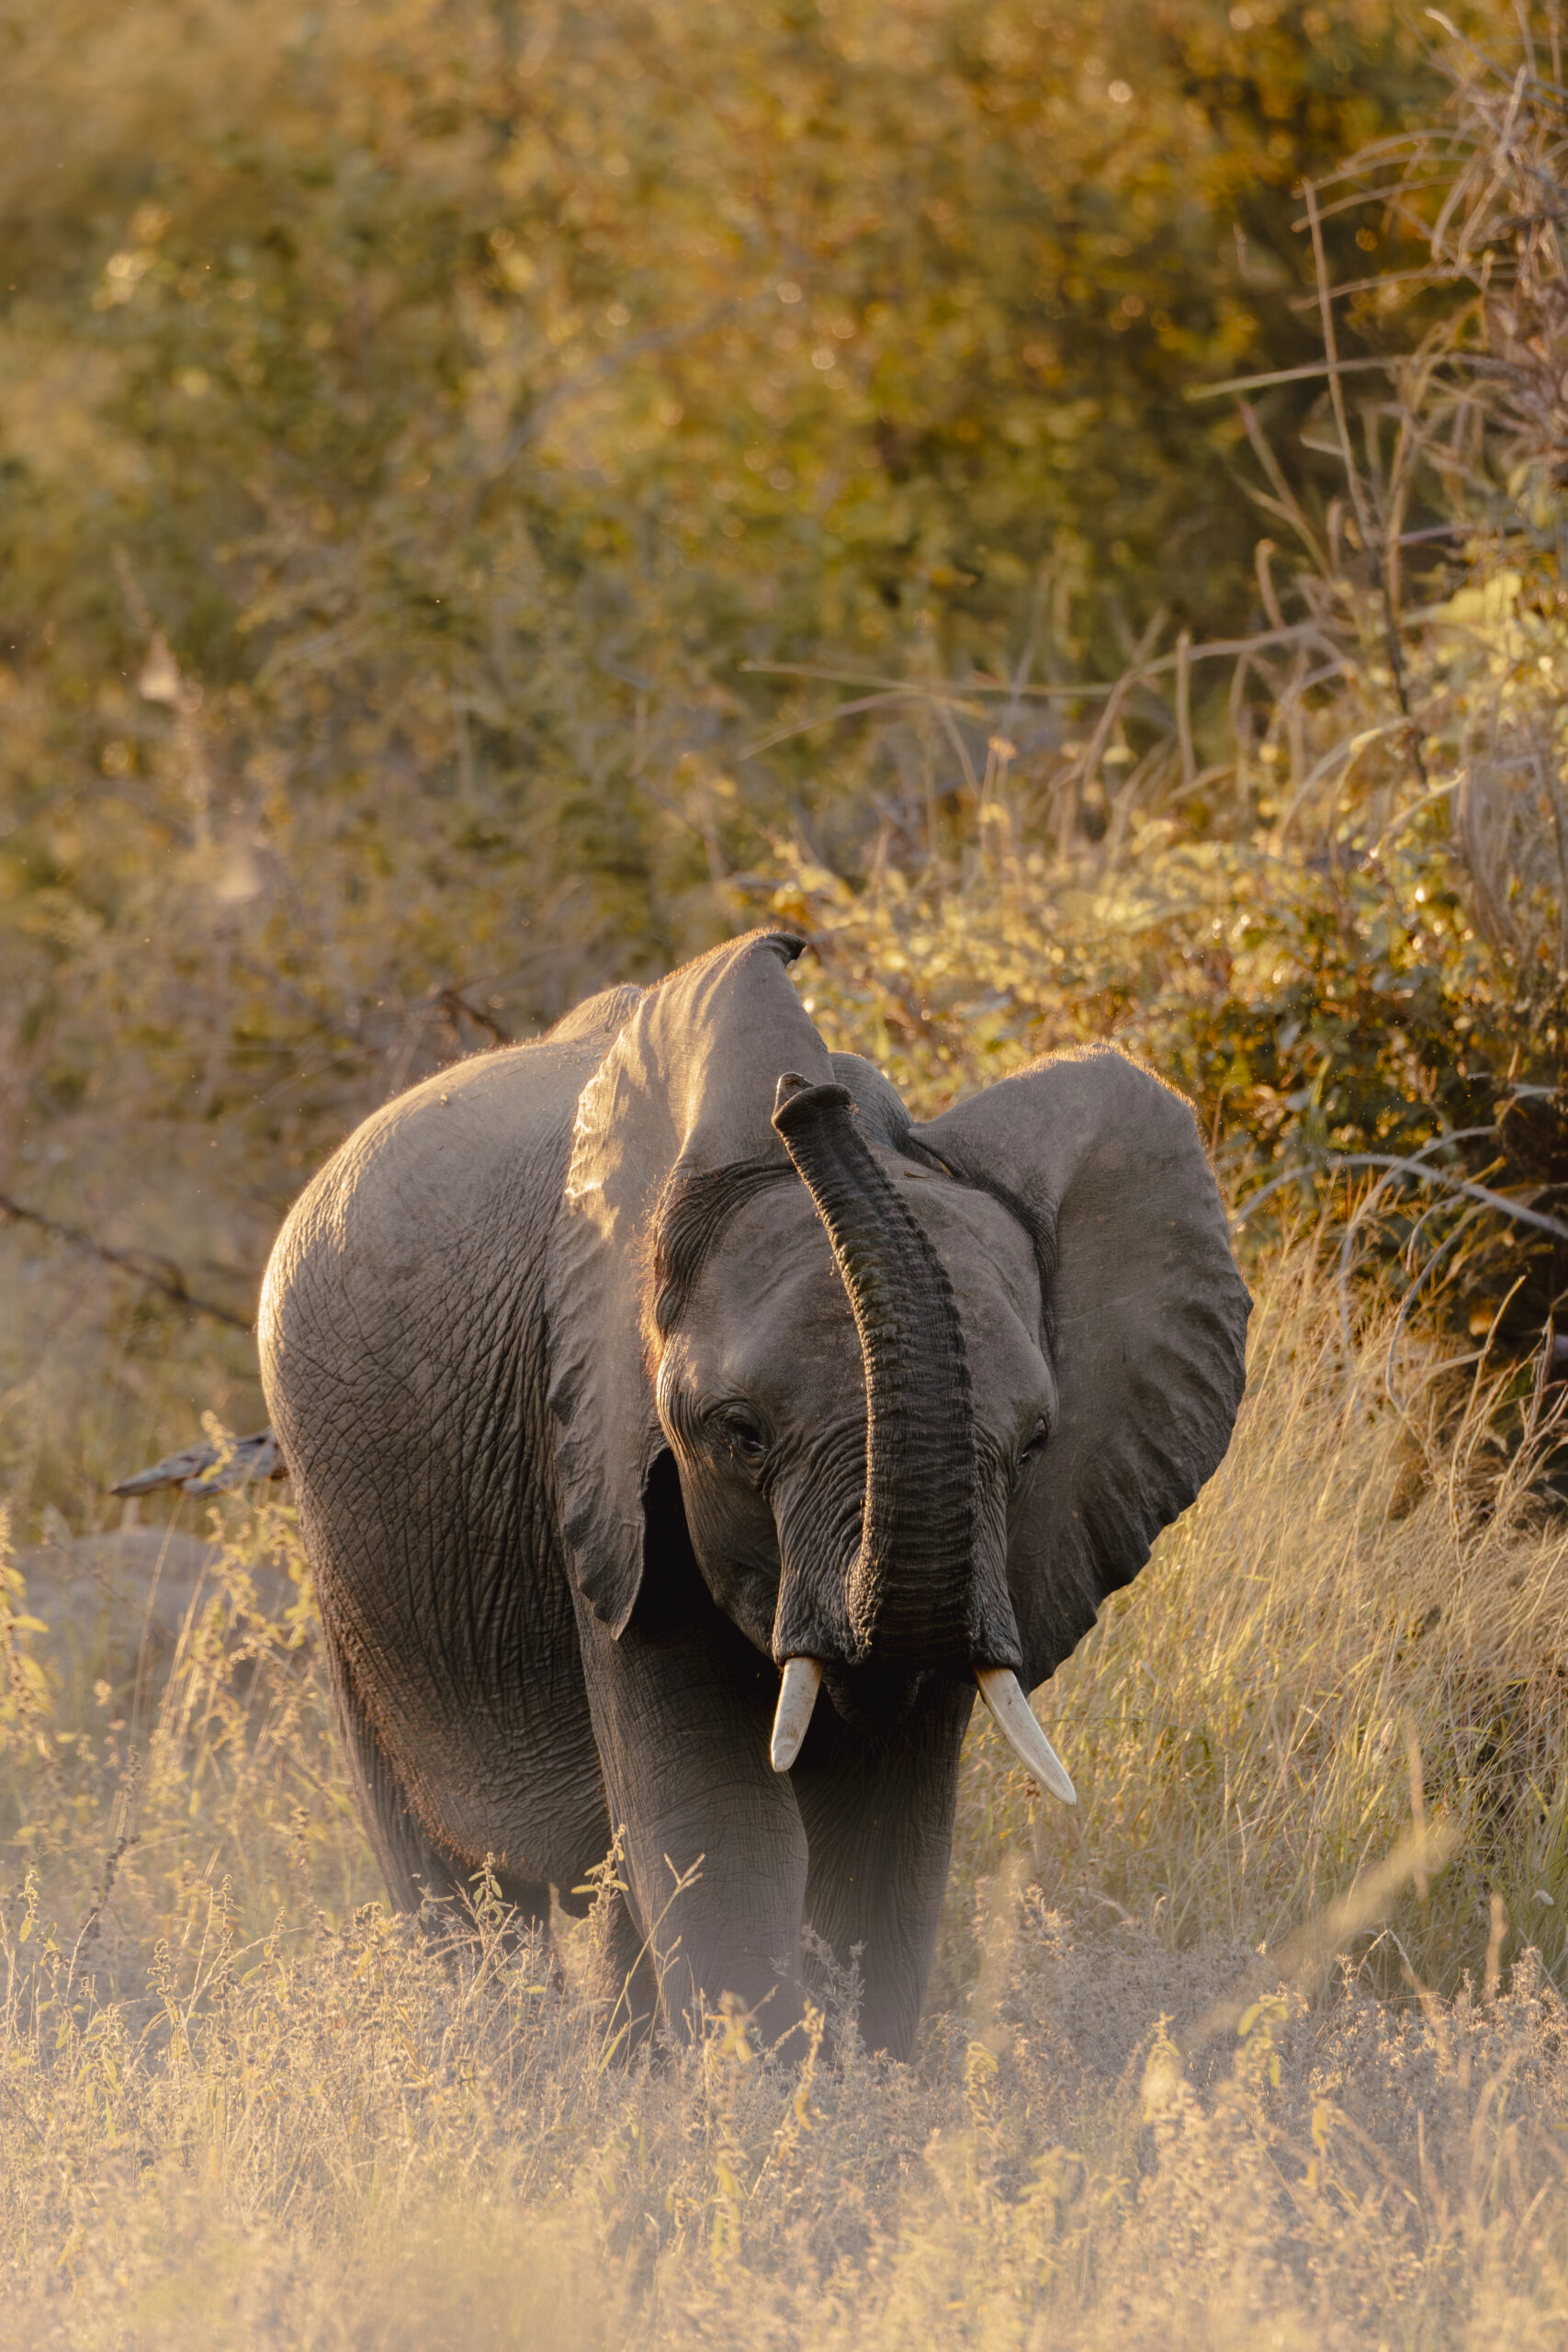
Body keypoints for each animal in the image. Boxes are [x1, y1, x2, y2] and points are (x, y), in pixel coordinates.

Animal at [257, 928, 1250, 2059]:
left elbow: (883, 1849)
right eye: (740, 1434)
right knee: (460, 1887)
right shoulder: (599, 1464)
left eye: (1036, 1445)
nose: (802, 1098)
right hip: (349, 1573)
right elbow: (720, 1824)